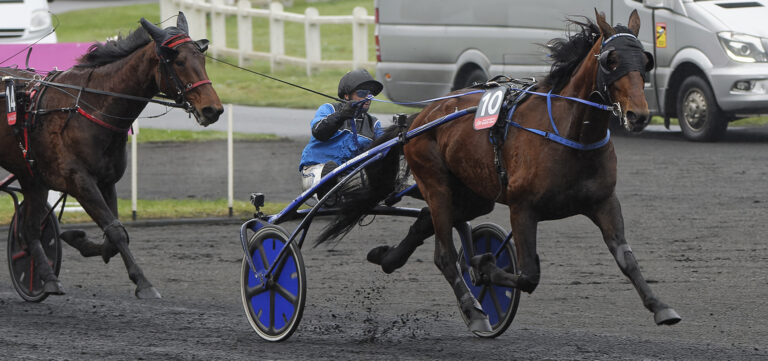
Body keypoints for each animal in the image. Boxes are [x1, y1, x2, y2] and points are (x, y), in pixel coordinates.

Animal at [0, 12, 224, 296]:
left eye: (202, 59)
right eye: (179, 61)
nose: (212, 109)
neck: (88, 108)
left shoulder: (106, 181)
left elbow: (114, 232)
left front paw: (79, 239)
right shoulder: (78, 180)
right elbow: (116, 232)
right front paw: (145, 283)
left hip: (30, 176)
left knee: (29, 230)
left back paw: (46, 276)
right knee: (29, 230)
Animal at [316, 9, 680, 332]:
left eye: (645, 59)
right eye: (611, 60)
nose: (638, 115)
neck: (569, 134)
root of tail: (420, 118)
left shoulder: (603, 202)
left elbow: (626, 257)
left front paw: (661, 307)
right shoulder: (523, 208)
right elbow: (529, 275)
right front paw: (485, 267)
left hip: (473, 193)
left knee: (425, 222)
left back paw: (387, 257)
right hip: (436, 183)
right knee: (444, 255)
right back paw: (474, 310)